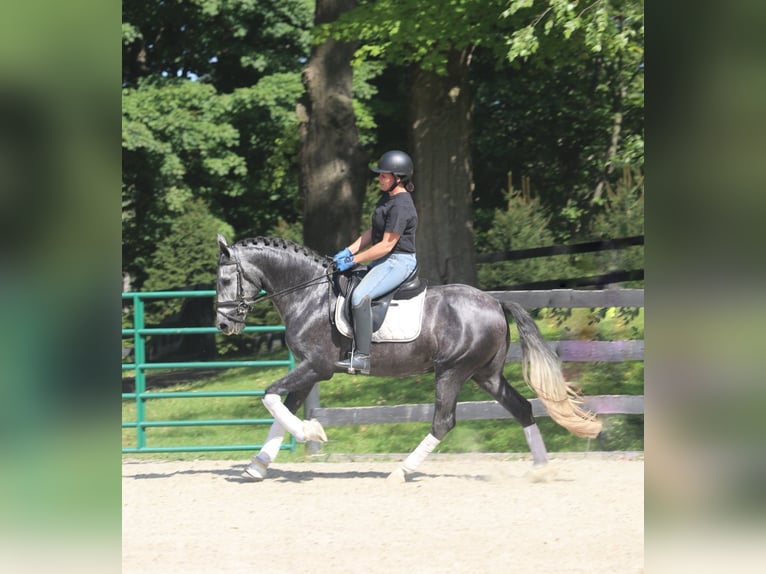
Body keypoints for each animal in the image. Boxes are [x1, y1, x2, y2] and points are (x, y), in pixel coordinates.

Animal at [215, 234, 602, 482]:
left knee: (443, 422)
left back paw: (402, 470)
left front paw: (313, 432)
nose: (223, 325)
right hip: (485, 375)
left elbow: (270, 397)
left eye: (224, 280)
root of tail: (495, 301)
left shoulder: (317, 367)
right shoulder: (310, 371)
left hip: (451, 372)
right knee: (521, 408)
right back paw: (542, 469)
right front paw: (258, 465)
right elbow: (282, 411)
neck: (309, 295)